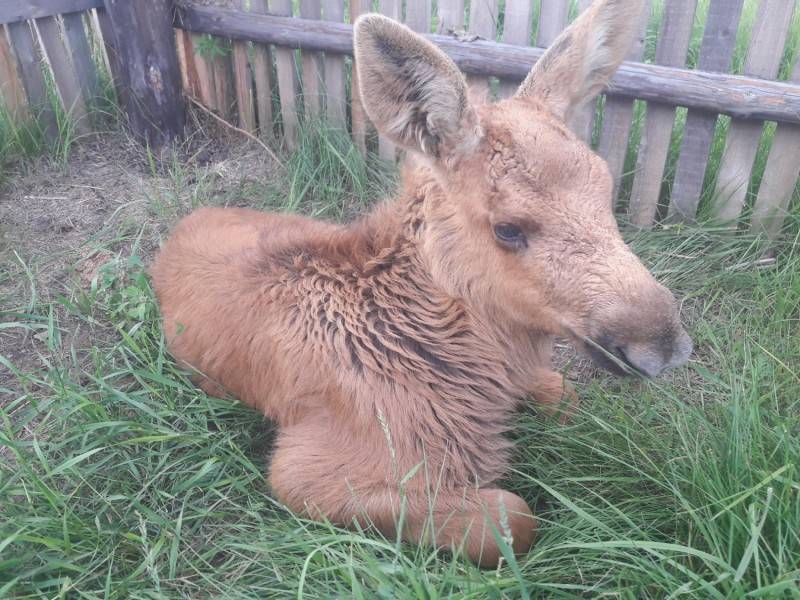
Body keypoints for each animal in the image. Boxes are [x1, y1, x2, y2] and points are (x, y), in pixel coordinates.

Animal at [153, 0, 692, 568]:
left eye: (606, 190)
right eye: (508, 228)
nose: (661, 344)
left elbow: (564, 394)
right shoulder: (306, 470)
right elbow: (511, 519)